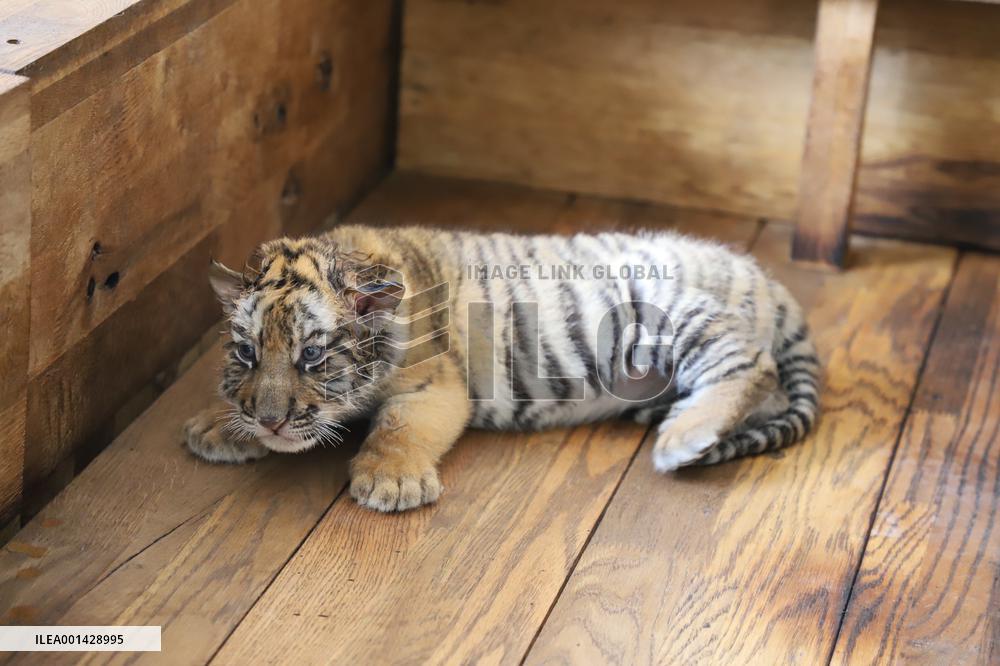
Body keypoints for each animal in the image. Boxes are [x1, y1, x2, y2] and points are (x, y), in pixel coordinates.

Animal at [183, 224, 820, 512]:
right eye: (246, 353)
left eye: (311, 355)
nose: (268, 421)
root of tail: (758, 274)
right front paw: (218, 424)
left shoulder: (435, 384)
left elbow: (400, 428)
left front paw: (391, 480)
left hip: (668, 311)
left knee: (753, 365)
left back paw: (682, 436)